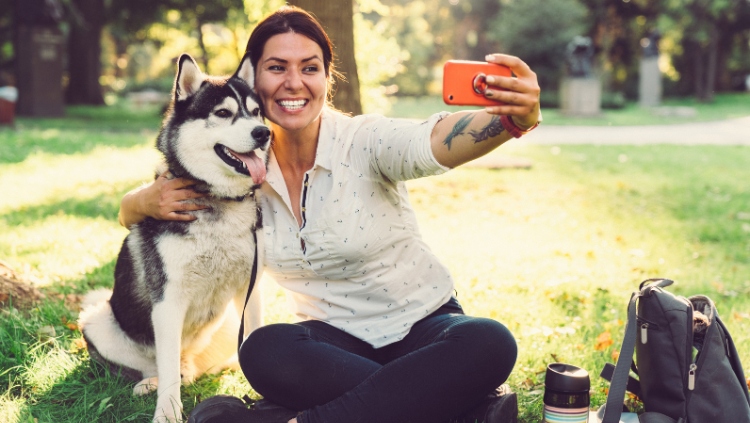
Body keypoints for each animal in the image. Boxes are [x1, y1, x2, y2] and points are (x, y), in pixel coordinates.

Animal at [76, 53, 268, 423]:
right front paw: (166, 412)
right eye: (223, 113)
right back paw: (147, 384)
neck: (217, 201)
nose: (264, 133)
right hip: (96, 318)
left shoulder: (248, 290)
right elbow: (166, 369)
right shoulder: (168, 299)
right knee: (155, 368)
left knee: (197, 367)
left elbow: (254, 338)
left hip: (224, 324)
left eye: (256, 112)